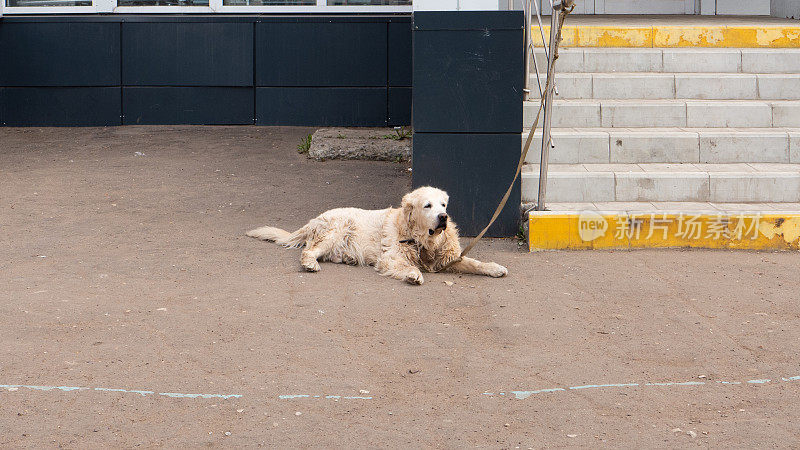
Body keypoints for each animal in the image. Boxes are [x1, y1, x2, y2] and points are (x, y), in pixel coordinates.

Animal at [245, 186, 506, 284]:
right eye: (427, 206)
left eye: (443, 205)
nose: (444, 217)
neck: (423, 239)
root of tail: (314, 220)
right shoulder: (391, 258)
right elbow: (406, 265)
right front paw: (413, 274)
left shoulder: (448, 258)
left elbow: (474, 263)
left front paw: (494, 268)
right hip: (336, 231)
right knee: (309, 251)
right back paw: (310, 263)